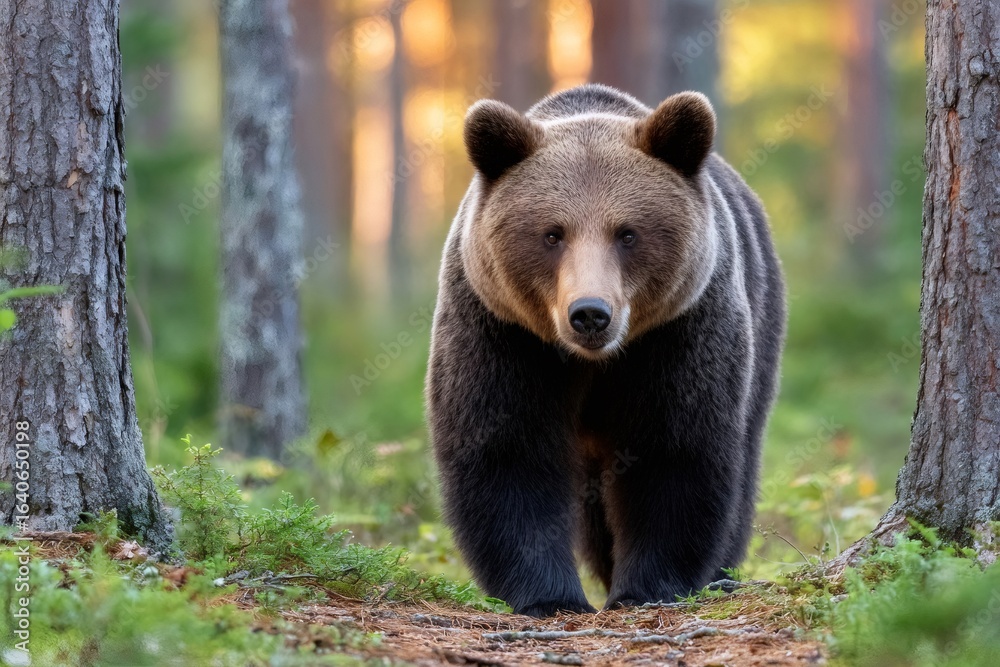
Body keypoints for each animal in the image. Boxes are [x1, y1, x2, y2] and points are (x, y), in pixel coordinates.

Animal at [426, 84, 786, 617]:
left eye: (628, 233)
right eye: (552, 233)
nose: (591, 313)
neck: (593, 361)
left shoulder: (679, 331)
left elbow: (672, 449)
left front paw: (646, 588)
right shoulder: (501, 330)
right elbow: (506, 448)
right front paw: (548, 595)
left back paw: (720, 575)